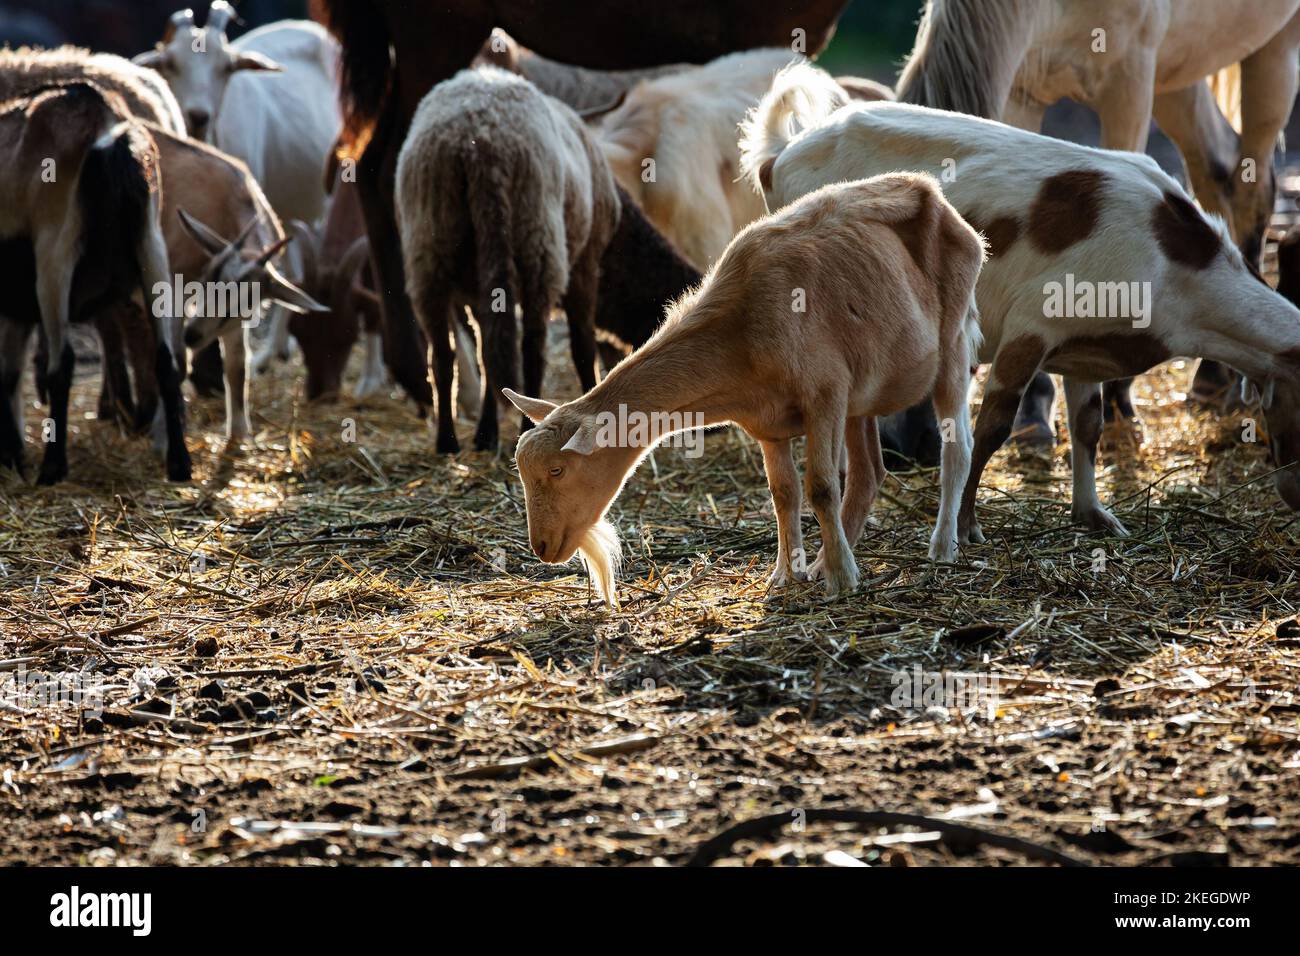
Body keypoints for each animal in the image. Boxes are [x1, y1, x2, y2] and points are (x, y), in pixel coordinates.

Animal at [0, 83, 190, 484]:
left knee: (63, 364)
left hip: (55, 250)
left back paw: (52, 468)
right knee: (165, 359)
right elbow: (8, 375)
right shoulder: (15, 307)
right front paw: (12, 455)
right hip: (152, 245)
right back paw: (180, 464)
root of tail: (110, 129)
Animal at [396, 67, 699, 454]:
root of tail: (478, 142)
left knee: (445, 356)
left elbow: (488, 356)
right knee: (532, 350)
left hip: (428, 248)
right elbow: (582, 346)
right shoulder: (585, 267)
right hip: (538, 242)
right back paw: (525, 426)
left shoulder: (481, 294)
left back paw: (448, 440)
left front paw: (485, 434)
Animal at [504, 173, 985, 605]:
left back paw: (941, 548)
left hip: (953, 340)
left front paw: (842, 581)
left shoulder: (825, 395)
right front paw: (786, 575)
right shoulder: (768, 422)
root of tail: (932, 192)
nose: (542, 548)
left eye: (557, 470)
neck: (740, 331)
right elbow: (784, 494)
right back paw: (825, 561)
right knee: (869, 473)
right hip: (861, 395)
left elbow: (821, 487)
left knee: (957, 450)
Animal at [741, 63, 1300, 538]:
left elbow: (1088, 427)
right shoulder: (1031, 325)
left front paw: (1093, 514)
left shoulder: (1085, 347)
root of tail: (779, 157)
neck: (1174, 266)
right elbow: (992, 427)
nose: (1293, 494)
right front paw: (966, 525)